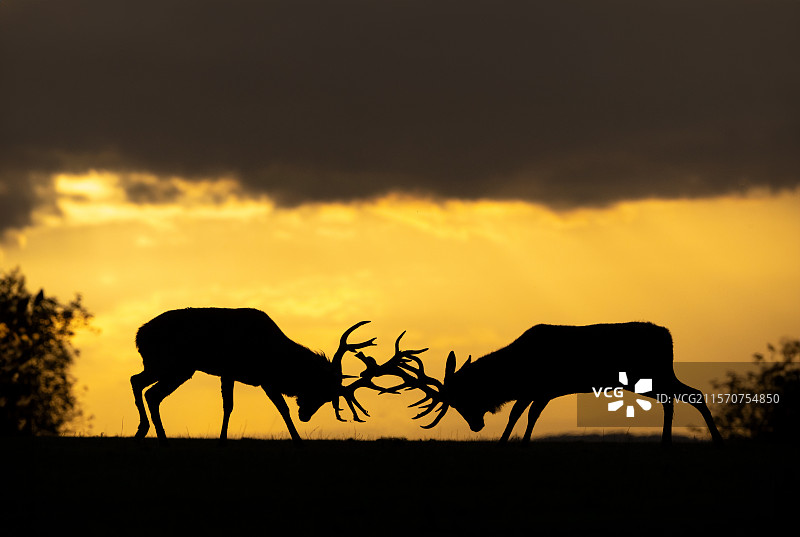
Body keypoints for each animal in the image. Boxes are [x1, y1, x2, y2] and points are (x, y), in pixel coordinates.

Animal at [130, 307, 402, 445]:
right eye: (320, 390)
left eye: (327, 398)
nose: (306, 416)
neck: (275, 359)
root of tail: (138, 336)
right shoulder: (251, 376)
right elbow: (245, 407)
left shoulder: (245, 377)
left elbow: (236, 406)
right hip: (173, 365)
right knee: (144, 386)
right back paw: (152, 432)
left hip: (175, 368)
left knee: (145, 388)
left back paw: (150, 432)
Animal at [388, 322, 724, 446]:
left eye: (462, 398)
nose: (476, 426)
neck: (512, 374)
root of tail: (669, 337)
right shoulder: (539, 392)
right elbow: (525, 415)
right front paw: (514, 440)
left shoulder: (538, 389)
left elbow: (522, 415)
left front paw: (509, 441)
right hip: (657, 376)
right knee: (683, 396)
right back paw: (671, 439)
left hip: (654, 375)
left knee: (689, 396)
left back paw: (708, 439)